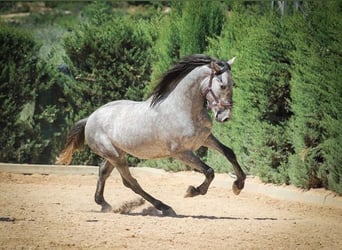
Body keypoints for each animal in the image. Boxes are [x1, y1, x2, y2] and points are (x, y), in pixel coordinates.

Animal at [58, 54, 246, 217]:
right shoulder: (181, 152)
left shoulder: (205, 139)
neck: (182, 109)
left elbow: (229, 153)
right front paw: (193, 191)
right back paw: (164, 207)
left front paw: (238, 185)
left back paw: (104, 204)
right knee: (131, 182)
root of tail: (90, 118)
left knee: (103, 172)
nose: (224, 116)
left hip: (116, 154)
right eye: (222, 85)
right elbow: (209, 171)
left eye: (234, 84)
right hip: (115, 156)